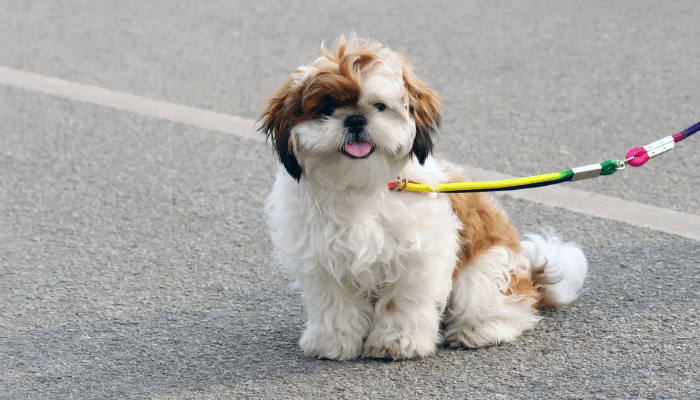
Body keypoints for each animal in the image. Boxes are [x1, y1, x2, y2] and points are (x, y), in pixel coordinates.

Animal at [260, 37, 588, 360]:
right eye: (327, 108)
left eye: (379, 106)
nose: (354, 120)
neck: (363, 185)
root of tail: (530, 275)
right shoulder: (323, 258)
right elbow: (335, 303)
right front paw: (333, 341)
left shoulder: (418, 256)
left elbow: (402, 301)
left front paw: (397, 341)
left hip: (486, 270)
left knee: (504, 306)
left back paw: (483, 329)